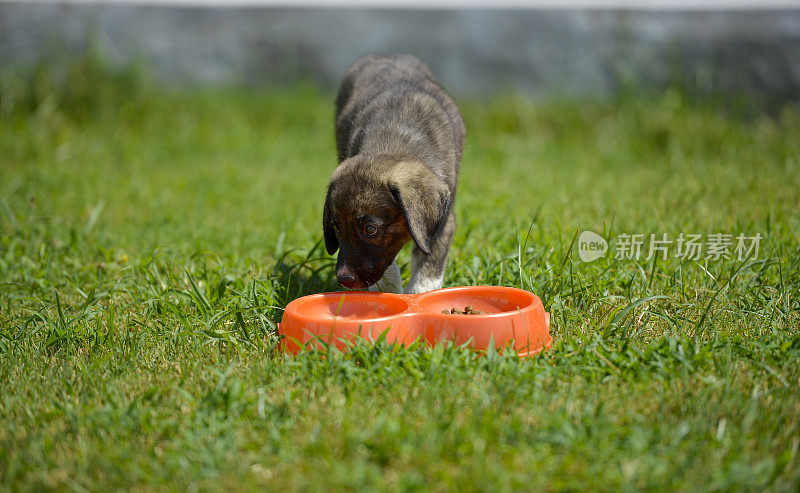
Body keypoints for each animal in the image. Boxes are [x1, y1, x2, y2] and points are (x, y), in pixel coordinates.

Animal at [322, 53, 466, 292]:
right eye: (336, 227)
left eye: (370, 229)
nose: (344, 279)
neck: (397, 141)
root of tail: (386, 55)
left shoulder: (441, 226)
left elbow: (427, 274)